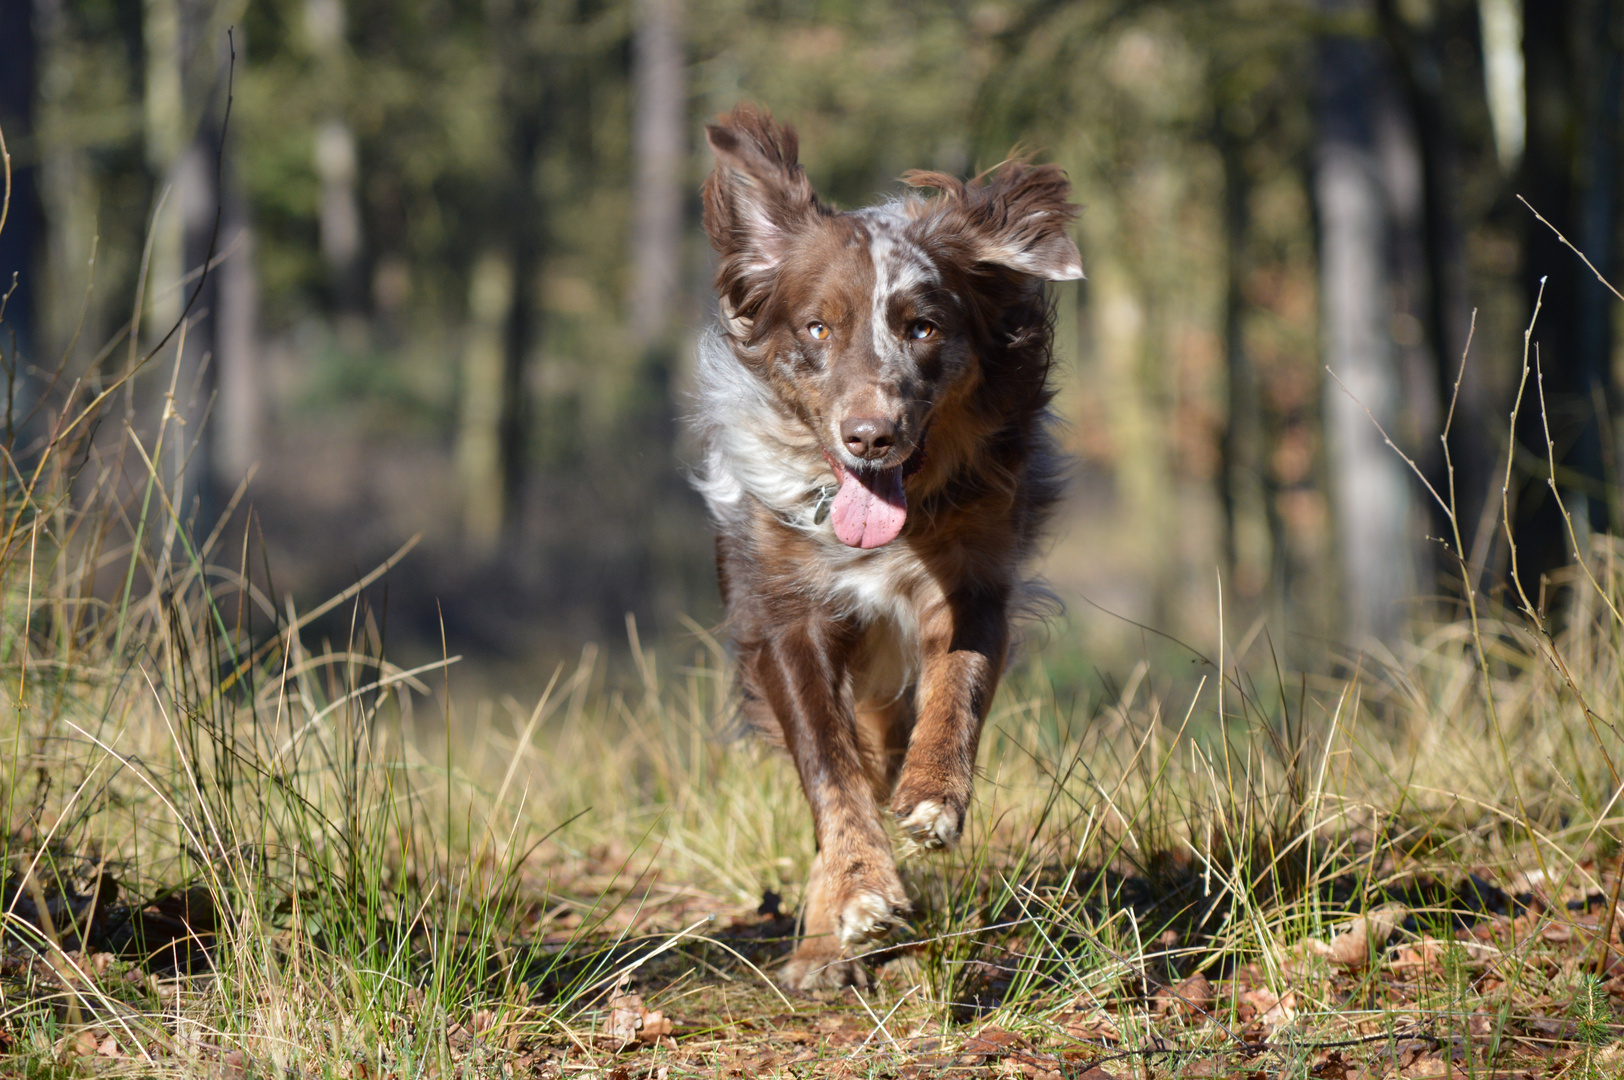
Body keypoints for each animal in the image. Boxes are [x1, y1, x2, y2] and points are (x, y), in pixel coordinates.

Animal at [691, 105, 1084, 987]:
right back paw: (822, 938)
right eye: (817, 327)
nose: (870, 436)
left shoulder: (976, 576)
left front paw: (934, 795)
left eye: (923, 327)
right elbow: (830, 767)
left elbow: (957, 690)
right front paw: (856, 890)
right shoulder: (785, 618)